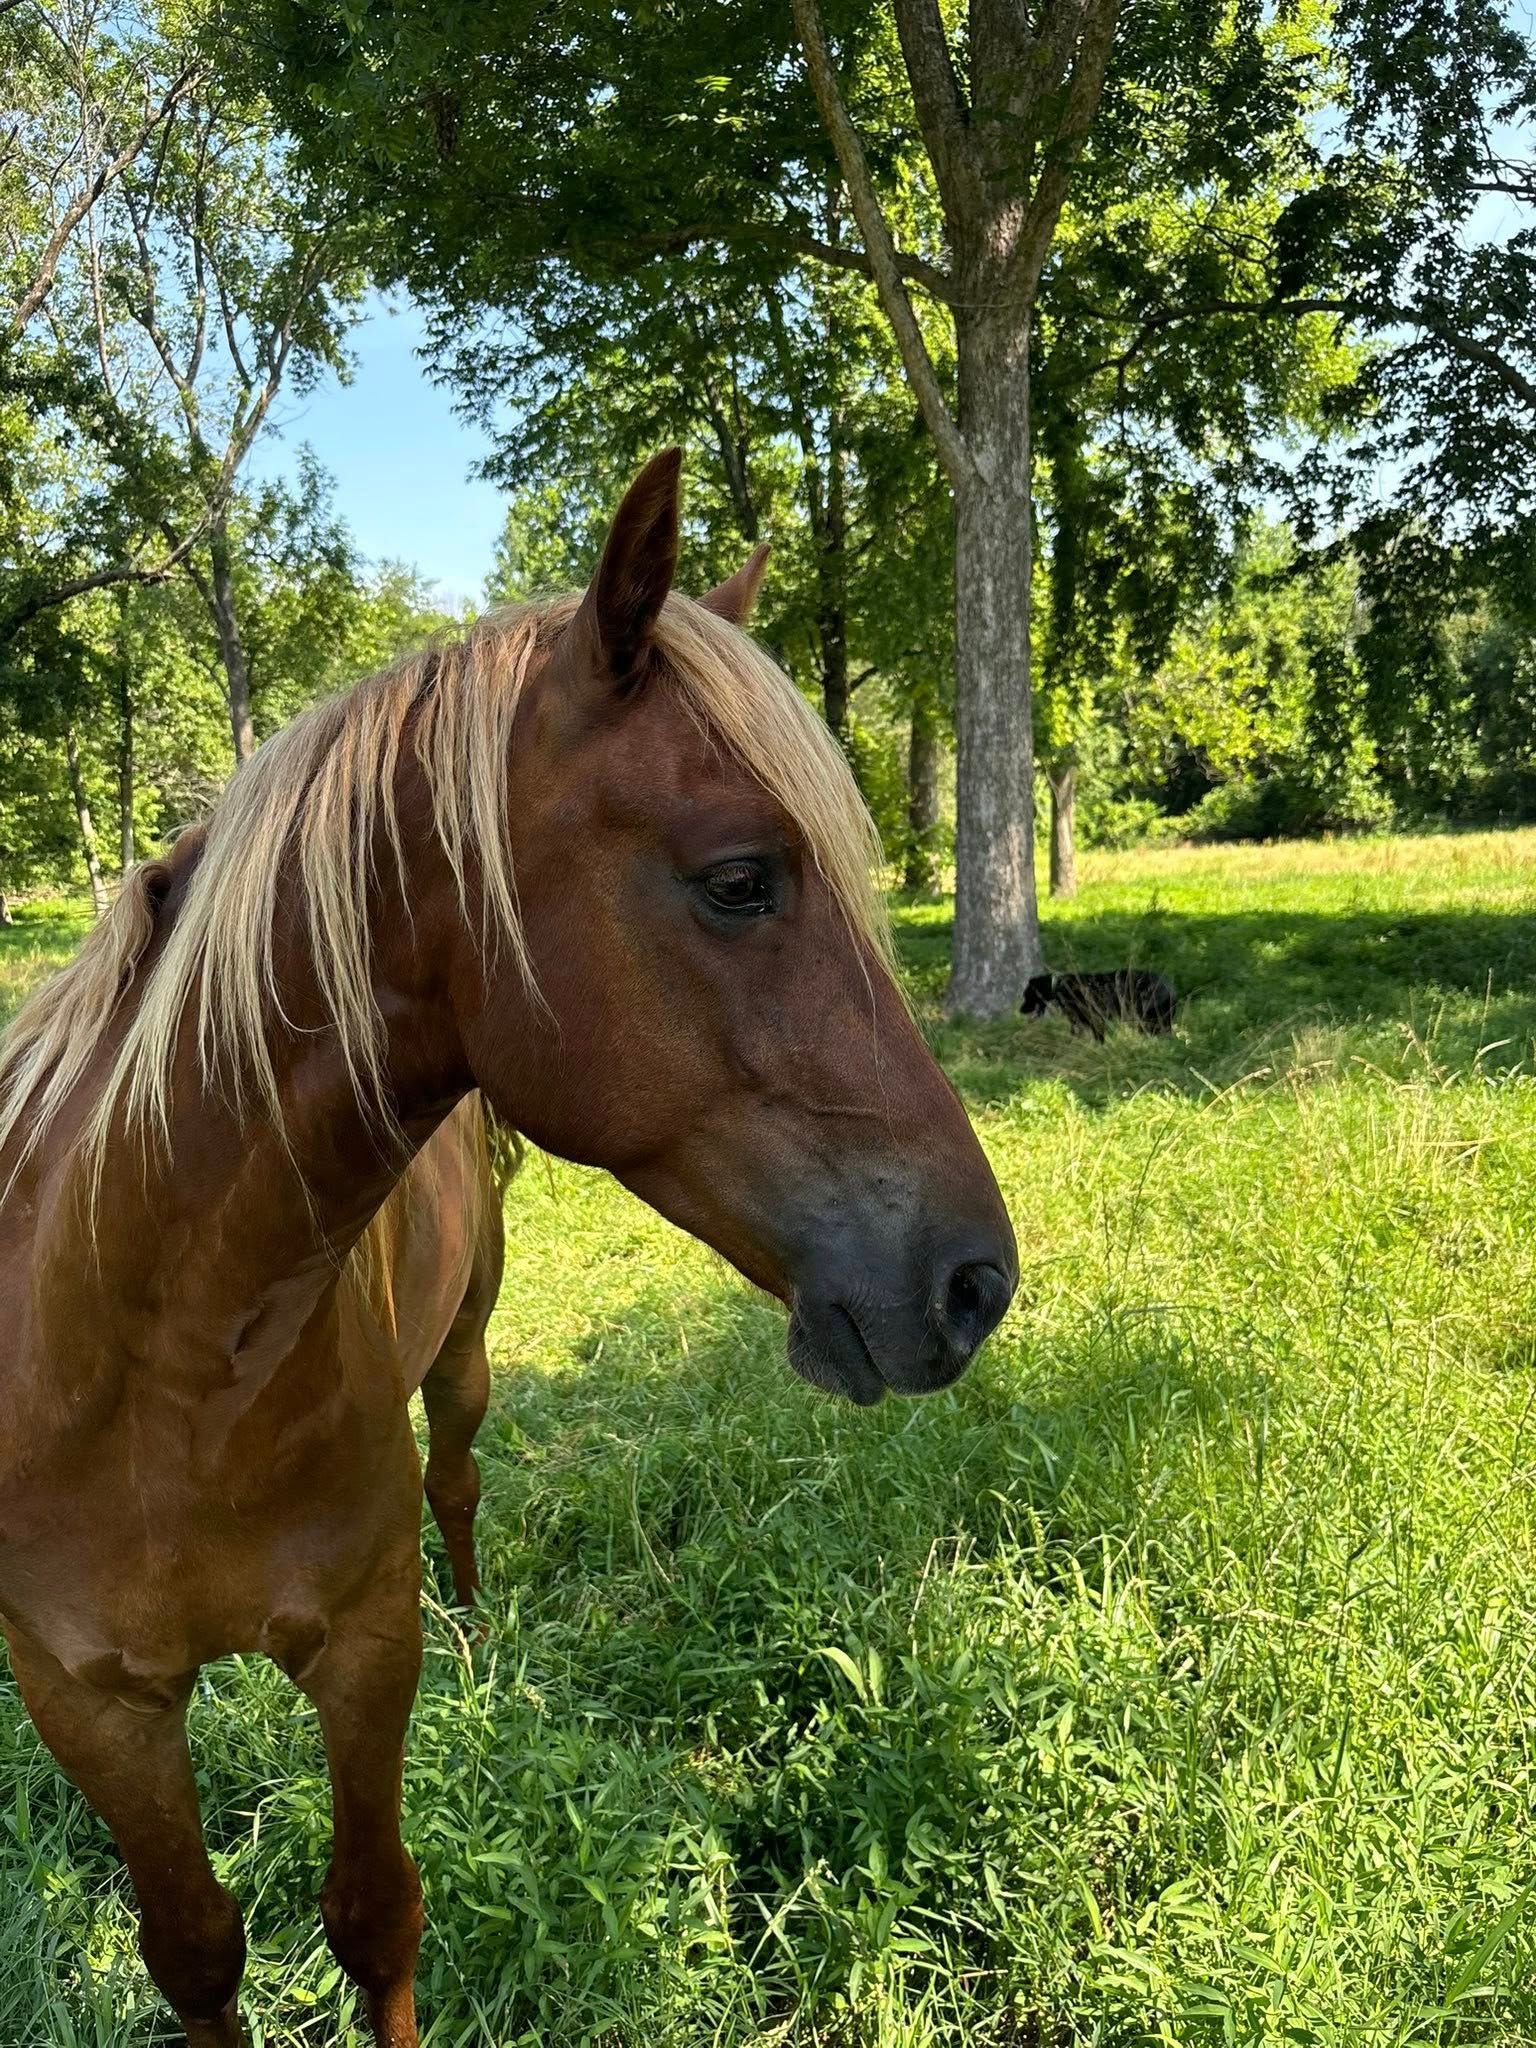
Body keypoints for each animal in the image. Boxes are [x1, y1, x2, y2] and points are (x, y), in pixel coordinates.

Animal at [0, 450, 1016, 2047]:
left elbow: (374, 1915)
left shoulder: (365, 1646)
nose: (977, 1282)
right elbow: (197, 1951)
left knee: (460, 1478)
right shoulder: (86, 1698)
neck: (152, 1354)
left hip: (467, 1356)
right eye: (741, 878)